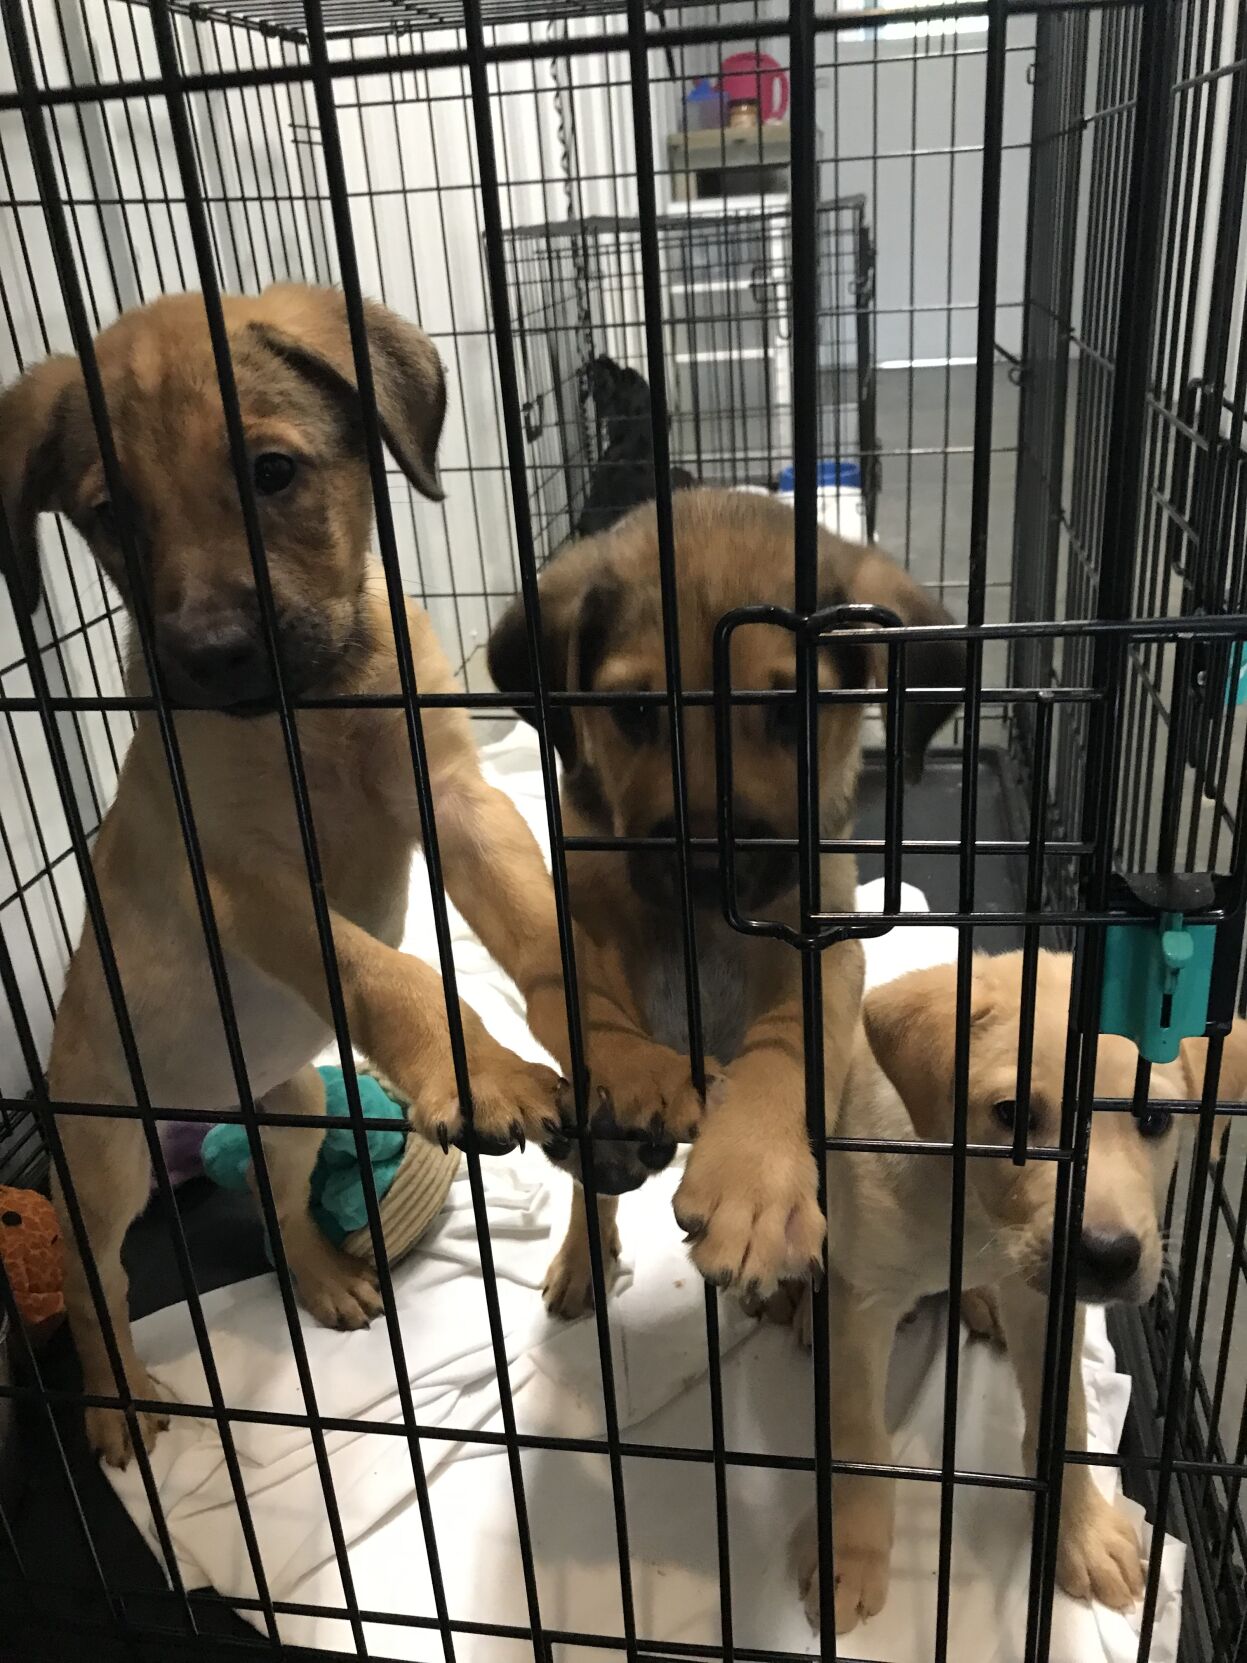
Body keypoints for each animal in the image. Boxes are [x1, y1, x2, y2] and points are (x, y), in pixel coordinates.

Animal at [0, 289, 704, 1470]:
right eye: (109, 515)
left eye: (272, 472)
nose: (211, 655)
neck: (314, 706)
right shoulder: (249, 883)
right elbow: (382, 972)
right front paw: (481, 1075)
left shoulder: (457, 801)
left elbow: (542, 939)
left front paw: (623, 1055)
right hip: (100, 1162)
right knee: (99, 1290)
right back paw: (120, 1401)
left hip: (288, 1115)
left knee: (278, 1209)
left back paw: (327, 1280)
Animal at [488, 485, 964, 1317]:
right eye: (635, 711)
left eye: (789, 710)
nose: (708, 864)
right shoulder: (581, 922)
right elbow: (588, 1008)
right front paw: (643, 1075)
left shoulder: (817, 940)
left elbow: (786, 1044)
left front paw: (752, 1185)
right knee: (589, 1179)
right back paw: (586, 1241)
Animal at [794, 957, 1243, 1629]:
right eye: (1010, 1113)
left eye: (1156, 1120)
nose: (1107, 1255)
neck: (972, 1211)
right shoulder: (862, 1302)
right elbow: (858, 1437)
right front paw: (850, 1551)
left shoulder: (1049, 1306)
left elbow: (1069, 1423)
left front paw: (1079, 1531)